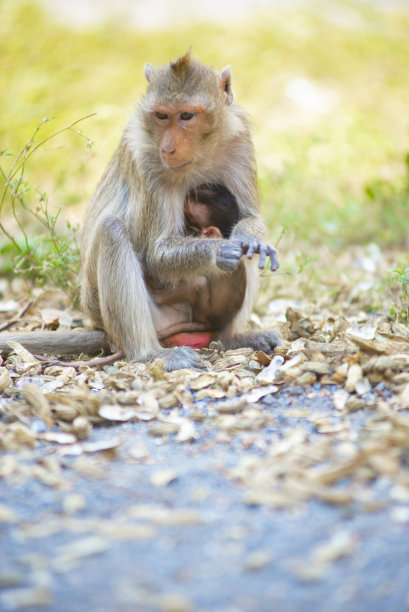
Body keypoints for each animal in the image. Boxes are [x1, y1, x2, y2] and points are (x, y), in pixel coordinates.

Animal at [79, 51, 278, 368]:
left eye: (186, 116)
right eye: (162, 116)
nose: (169, 148)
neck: (200, 155)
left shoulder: (240, 141)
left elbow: (248, 219)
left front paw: (250, 240)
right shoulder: (147, 160)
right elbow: (158, 254)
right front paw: (220, 250)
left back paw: (231, 337)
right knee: (111, 229)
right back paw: (150, 354)